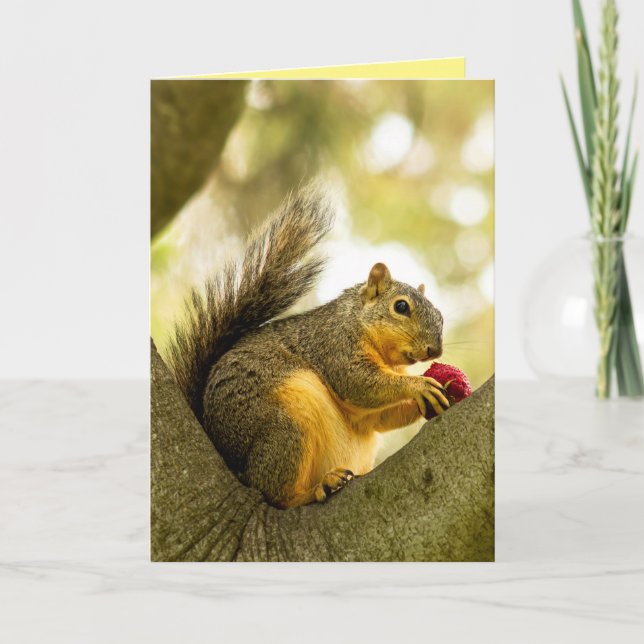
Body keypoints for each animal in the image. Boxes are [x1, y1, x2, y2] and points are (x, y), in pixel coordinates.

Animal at [167, 185, 449, 509]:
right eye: (401, 307)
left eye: (440, 316)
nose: (435, 351)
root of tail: (231, 460)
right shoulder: (333, 344)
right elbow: (359, 382)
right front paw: (419, 386)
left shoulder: (368, 410)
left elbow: (380, 417)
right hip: (285, 427)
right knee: (275, 492)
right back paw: (318, 487)